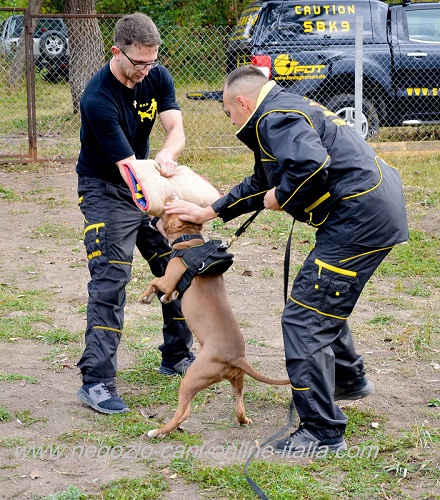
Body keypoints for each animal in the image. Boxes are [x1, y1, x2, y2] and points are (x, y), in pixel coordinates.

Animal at [140, 199, 288, 438]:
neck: (189, 240)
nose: (168, 201)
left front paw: (147, 296)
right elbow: (169, 293)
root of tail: (237, 358)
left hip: (192, 379)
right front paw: (165, 297)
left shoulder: (169, 277)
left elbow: (155, 282)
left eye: (167, 213)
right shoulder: (172, 284)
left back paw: (158, 431)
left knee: (184, 413)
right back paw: (244, 420)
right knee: (239, 407)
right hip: (237, 381)